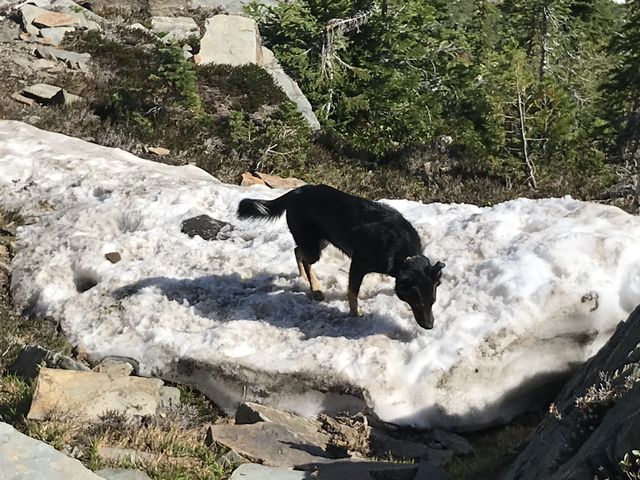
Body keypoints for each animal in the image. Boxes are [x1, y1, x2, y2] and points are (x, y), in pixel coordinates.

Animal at [236, 185, 444, 330]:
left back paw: (304, 277)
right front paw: (355, 312)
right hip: (313, 246)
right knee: (303, 256)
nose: (429, 327)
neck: (406, 255)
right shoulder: (358, 265)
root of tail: (296, 192)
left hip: (321, 241)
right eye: (417, 301)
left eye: (433, 301)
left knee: (296, 250)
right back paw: (315, 288)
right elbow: (352, 292)